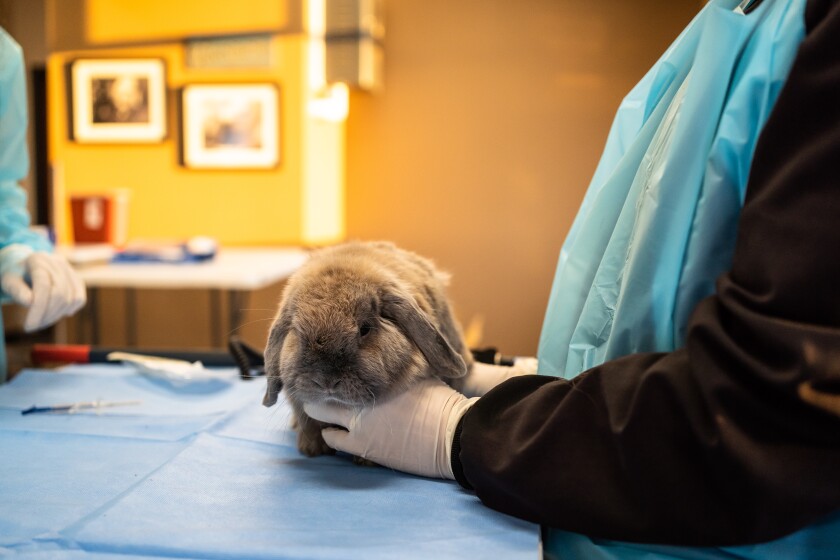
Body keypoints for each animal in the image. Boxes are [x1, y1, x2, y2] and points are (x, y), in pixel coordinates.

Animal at [262, 241, 473, 458]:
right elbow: (309, 423)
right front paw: (312, 450)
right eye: (297, 330)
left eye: (364, 329)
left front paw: (365, 459)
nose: (326, 382)